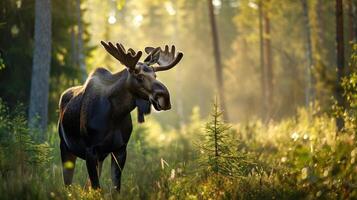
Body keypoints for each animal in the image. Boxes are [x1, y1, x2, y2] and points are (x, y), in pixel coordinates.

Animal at [58, 40, 184, 191]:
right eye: (139, 77)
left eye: (155, 76)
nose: (165, 98)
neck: (115, 115)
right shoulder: (90, 149)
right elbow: (96, 187)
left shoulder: (120, 148)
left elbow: (115, 188)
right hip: (65, 147)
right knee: (67, 184)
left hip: (99, 157)